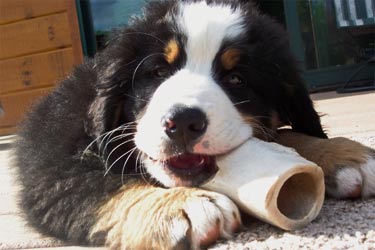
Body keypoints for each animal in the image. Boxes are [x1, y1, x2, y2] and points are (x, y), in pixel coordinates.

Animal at [13, 0, 374, 249]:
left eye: (236, 79)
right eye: (158, 72)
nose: (183, 121)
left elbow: (292, 133)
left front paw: (346, 155)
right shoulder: (54, 162)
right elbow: (101, 183)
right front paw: (181, 207)